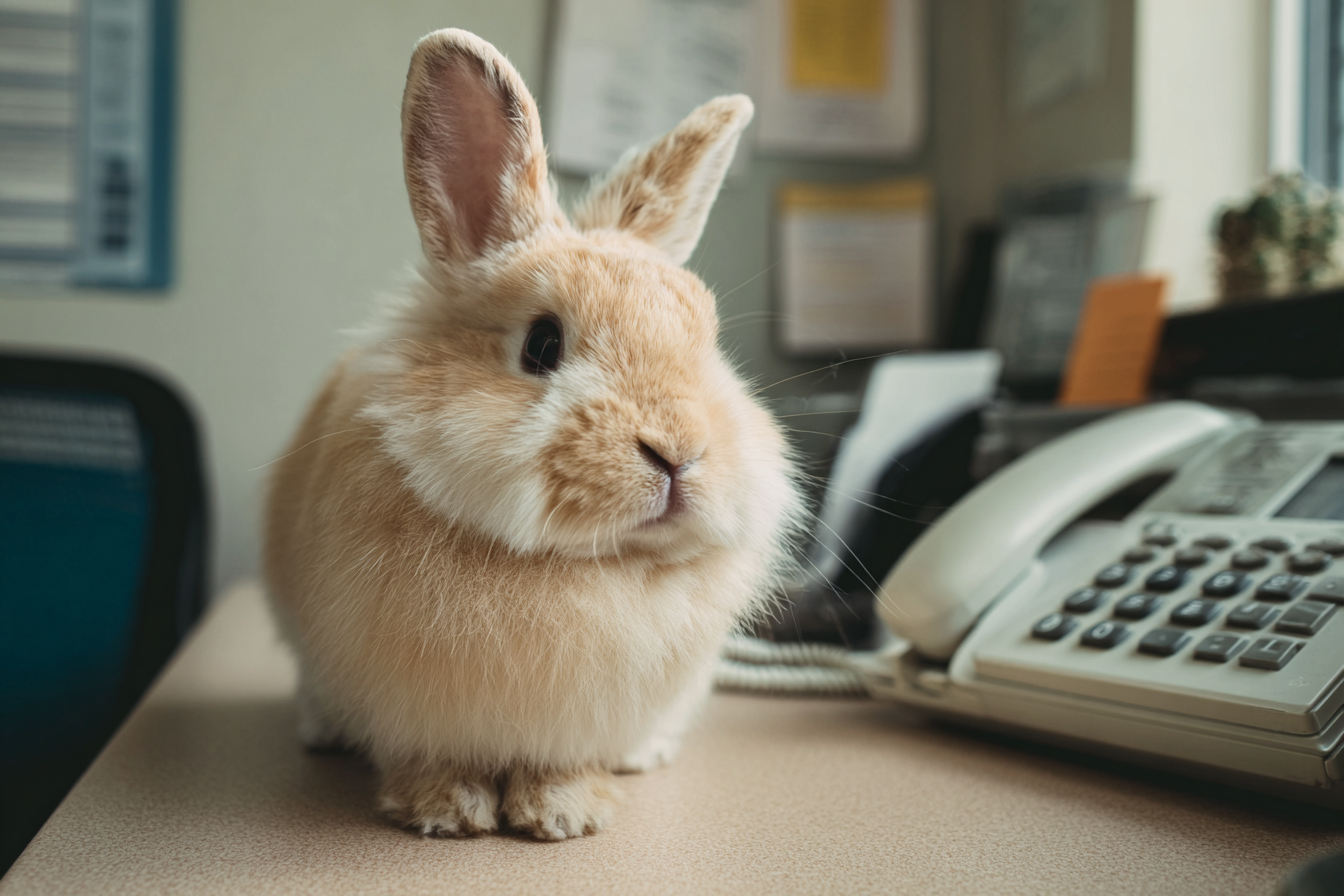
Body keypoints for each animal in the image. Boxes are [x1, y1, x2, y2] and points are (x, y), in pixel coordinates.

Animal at [263, 27, 803, 841]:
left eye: (709, 345)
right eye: (542, 345)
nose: (678, 452)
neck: (582, 567)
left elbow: (563, 763)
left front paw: (562, 815)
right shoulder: (411, 705)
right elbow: (432, 756)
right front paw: (445, 811)